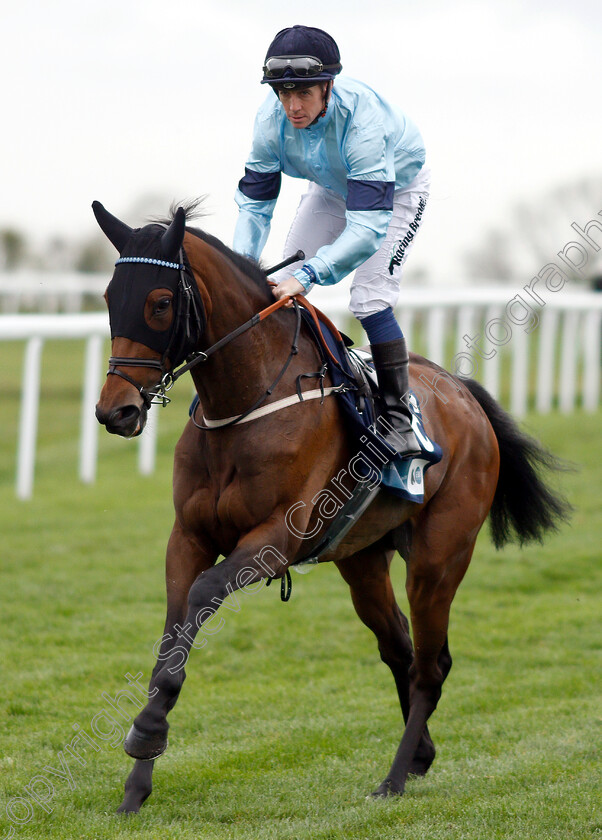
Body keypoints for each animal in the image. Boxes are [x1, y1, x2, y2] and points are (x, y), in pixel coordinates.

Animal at [91, 202, 564, 812]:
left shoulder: (273, 539)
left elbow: (201, 596)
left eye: (160, 303)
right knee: (400, 648)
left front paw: (146, 732)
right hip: (362, 559)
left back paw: (392, 778)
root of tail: (463, 393)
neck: (248, 404)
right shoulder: (188, 537)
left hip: (440, 556)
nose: (116, 411)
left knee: (429, 665)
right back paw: (420, 756)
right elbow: (174, 635)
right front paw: (137, 780)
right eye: (109, 296)